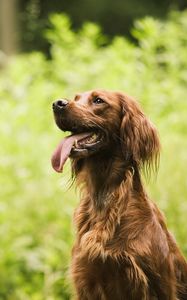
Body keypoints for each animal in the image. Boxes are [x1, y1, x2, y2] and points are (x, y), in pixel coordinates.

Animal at [51, 90, 187, 298]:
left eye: (98, 100)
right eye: (76, 98)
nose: (57, 103)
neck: (104, 197)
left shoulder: (158, 285)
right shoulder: (86, 279)